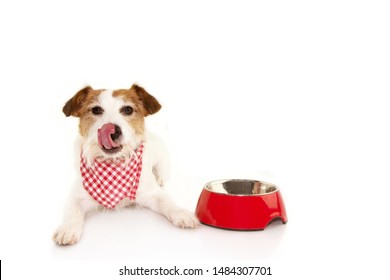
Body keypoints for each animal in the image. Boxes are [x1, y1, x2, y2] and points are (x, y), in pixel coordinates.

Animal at [52, 83, 198, 245]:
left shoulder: (151, 193)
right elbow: (72, 211)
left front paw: (181, 213)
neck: (113, 164)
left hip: (163, 159)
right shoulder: (77, 196)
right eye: (96, 109)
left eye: (127, 109)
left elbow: (167, 202)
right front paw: (68, 228)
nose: (113, 131)